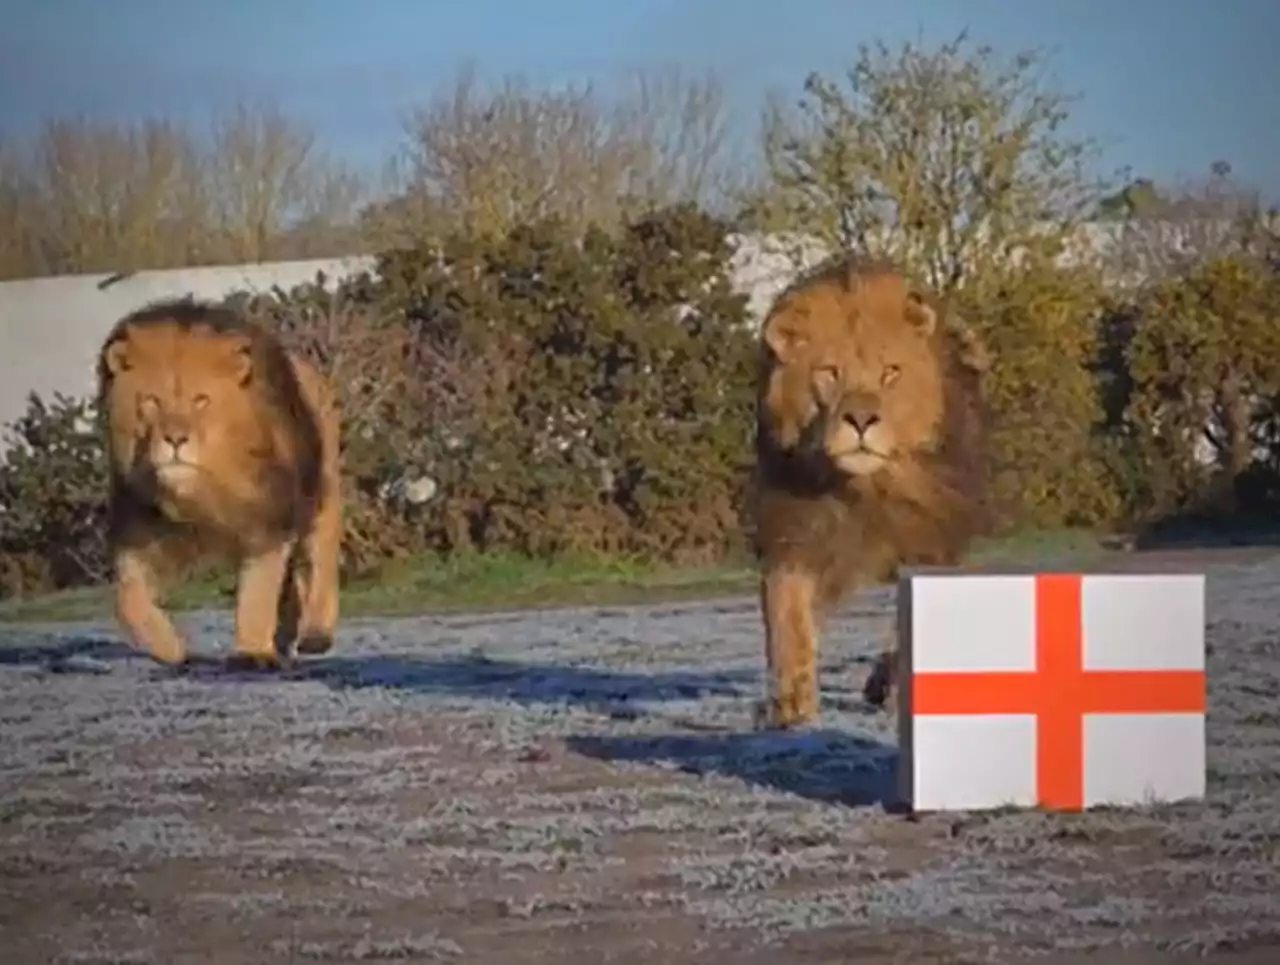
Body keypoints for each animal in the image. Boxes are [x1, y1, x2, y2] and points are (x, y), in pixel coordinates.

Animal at [96, 299, 343, 670]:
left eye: (201, 400)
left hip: (322, 494)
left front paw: (251, 653)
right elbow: (127, 599)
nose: (175, 439)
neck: (202, 493)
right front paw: (170, 649)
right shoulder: (140, 531)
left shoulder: (266, 521)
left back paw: (315, 634)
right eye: (152, 401)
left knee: (320, 563)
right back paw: (284, 639)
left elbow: (257, 594)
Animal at [747, 253, 988, 721]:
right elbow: (788, 613)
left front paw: (889, 686)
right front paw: (790, 702)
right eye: (829, 373)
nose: (860, 419)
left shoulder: (929, 545)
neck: (865, 491)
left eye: (889, 373)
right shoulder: (795, 530)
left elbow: (906, 626)